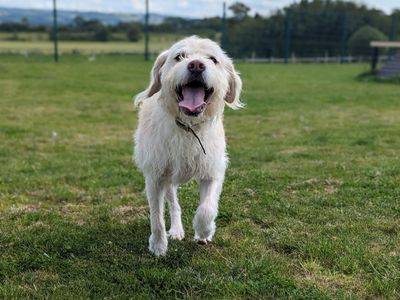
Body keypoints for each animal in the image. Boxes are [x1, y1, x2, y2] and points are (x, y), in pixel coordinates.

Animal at [133, 35, 242, 255]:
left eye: (213, 59)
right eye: (179, 56)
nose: (196, 65)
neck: (188, 127)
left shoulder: (213, 171)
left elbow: (207, 209)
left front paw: (204, 231)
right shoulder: (155, 176)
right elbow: (156, 217)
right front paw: (158, 245)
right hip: (167, 178)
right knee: (174, 204)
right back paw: (176, 230)